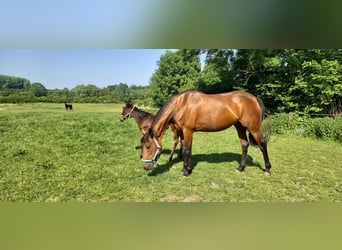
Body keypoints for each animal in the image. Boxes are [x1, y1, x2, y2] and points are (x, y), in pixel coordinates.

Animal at [140, 89, 272, 176]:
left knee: (262, 145)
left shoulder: (188, 131)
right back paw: (240, 168)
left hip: (253, 128)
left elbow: (187, 150)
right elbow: (183, 149)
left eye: (148, 146)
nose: (145, 166)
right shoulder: (182, 131)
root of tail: (254, 98)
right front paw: (184, 169)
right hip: (239, 127)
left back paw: (267, 170)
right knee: (244, 145)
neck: (182, 104)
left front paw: (187, 171)